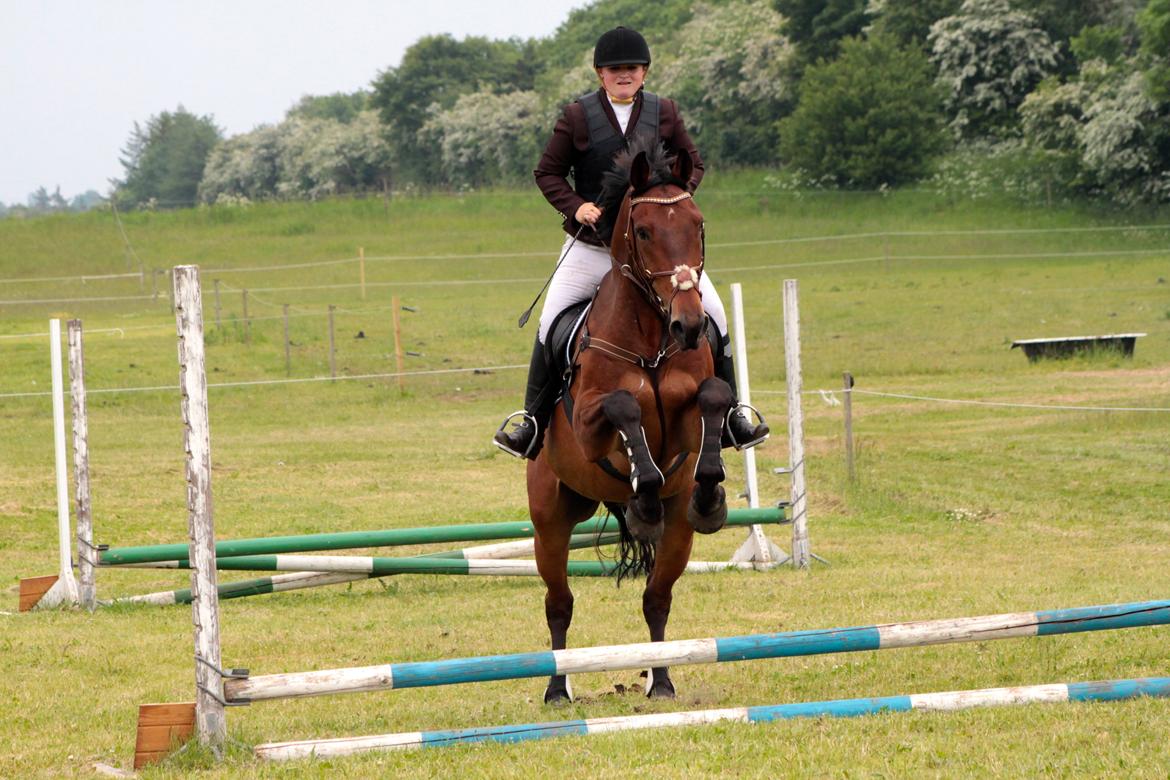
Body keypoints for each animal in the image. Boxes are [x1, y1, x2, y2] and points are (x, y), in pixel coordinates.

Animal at [528, 137, 730, 706]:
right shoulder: (592, 427)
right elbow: (625, 408)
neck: (652, 340)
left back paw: (660, 681)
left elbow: (715, 397)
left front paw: (709, 493)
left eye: (698, 225)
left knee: (656, 599)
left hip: (678, 536)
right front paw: (643, 493)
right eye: (643, 232)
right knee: (559, 605)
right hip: (550, 523)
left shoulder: (689, 420)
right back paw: (557, 690)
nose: (688, 325)